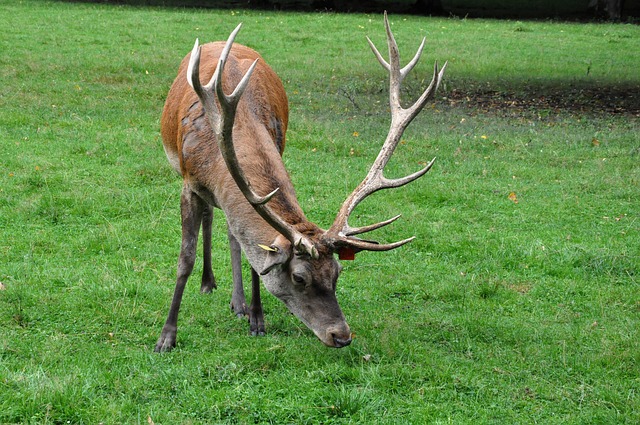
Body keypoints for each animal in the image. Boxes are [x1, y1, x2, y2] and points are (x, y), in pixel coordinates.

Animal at [154, 13, 444, 352]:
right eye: (300, 278)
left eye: (337, 272)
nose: (341, 335)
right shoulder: (189, 183)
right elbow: (184, 258)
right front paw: (166, 337)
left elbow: (254, 256)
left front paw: (257, 319)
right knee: (210, 218)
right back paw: (208, 282)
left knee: (232, 231)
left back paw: (238, 303)